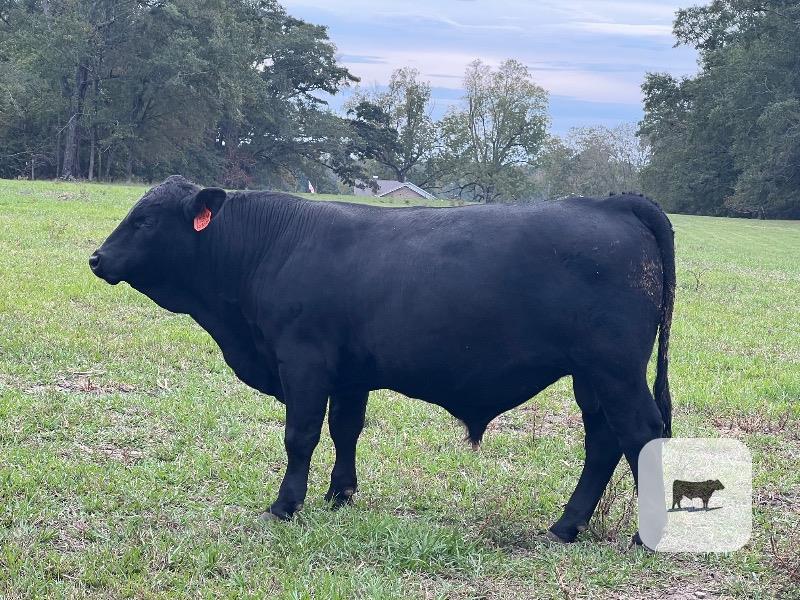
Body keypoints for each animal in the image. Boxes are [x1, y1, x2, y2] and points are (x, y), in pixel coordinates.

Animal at [89, 175, 675, 544]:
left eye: (145, 221)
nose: (96, 258)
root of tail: (611, 203)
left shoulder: (303, 361)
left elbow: (301, 435)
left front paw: (286, 504)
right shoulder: (350, 375)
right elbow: (345, 429)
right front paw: (339, 494)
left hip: (614, 369)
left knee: (640, 434)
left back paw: (644, 536)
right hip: (590, 376)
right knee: (603, 442)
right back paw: (565, 527)